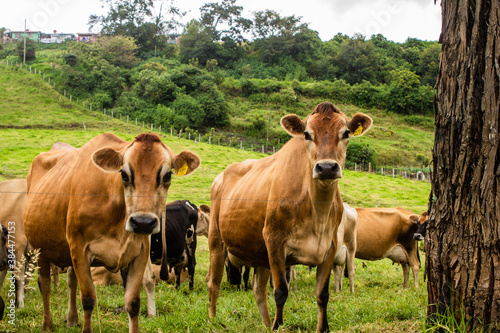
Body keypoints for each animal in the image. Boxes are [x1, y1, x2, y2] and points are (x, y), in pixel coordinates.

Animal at [23, 133, 199, 332]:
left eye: (167, 175)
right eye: (123, 173)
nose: (143, 222)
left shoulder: (140, 253)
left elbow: (133, 302)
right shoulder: (79, 250)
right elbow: (88, 299)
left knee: (70, 281)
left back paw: (72, 318)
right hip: (40, 250)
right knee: (44, 285)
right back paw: (47, 324)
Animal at [206, 102, 372, 330]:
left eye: (346, 133)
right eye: (307, 134)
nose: (326, 168)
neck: (317, 213)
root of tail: (221, 175)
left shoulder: (329, 247)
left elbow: (322, 294)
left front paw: (322, 328)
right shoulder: (275, 241)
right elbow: (280, 291)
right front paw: (278, 327)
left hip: (259, 251)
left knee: (258, 290)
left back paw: (265, 324)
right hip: (217, 239)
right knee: (213, 283)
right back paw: (213, 320)